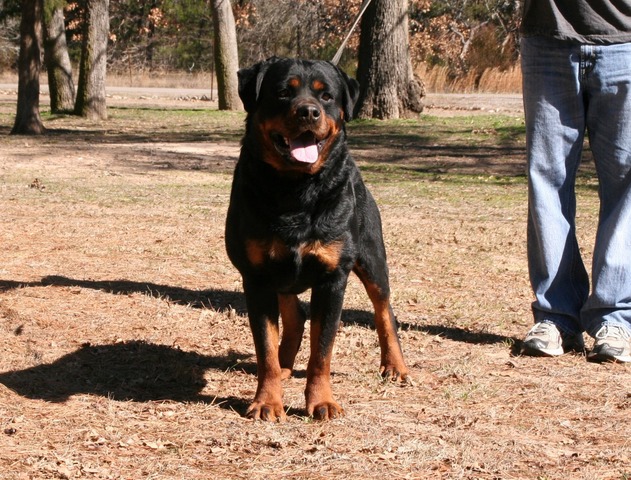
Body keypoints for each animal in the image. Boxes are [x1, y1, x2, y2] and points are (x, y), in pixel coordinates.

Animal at [226, 58, 410, 422]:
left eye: (326, 97)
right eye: (283, 92)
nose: (309, 112)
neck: (295, 190)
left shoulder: (332, 278)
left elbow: (322, 350)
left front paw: (322, 401)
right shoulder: (257, 278)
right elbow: (265, 350)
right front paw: (267, 401)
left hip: (372, 258)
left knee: (384, 310)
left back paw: (394, 365)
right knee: (295, 313)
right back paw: (285, 364)